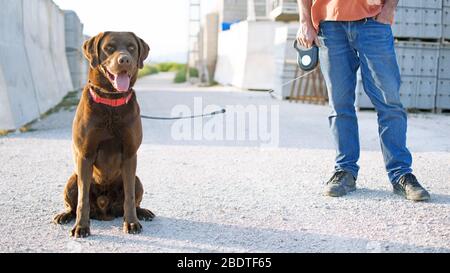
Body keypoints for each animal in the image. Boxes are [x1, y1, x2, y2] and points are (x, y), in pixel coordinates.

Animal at [52, 31, 154, 236]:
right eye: (109, 48)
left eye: (132, 47)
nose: (125, 60)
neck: (111, 104)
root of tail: (104, 211)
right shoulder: (85, 155)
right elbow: (82, 200)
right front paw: (81, 226)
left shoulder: (130, 154)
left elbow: (129, 197)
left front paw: (131, 223)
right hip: (72, 179)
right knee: (73, 204)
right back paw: (64, 216)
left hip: (138, 180)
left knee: (134, 198)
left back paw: (143, 212)